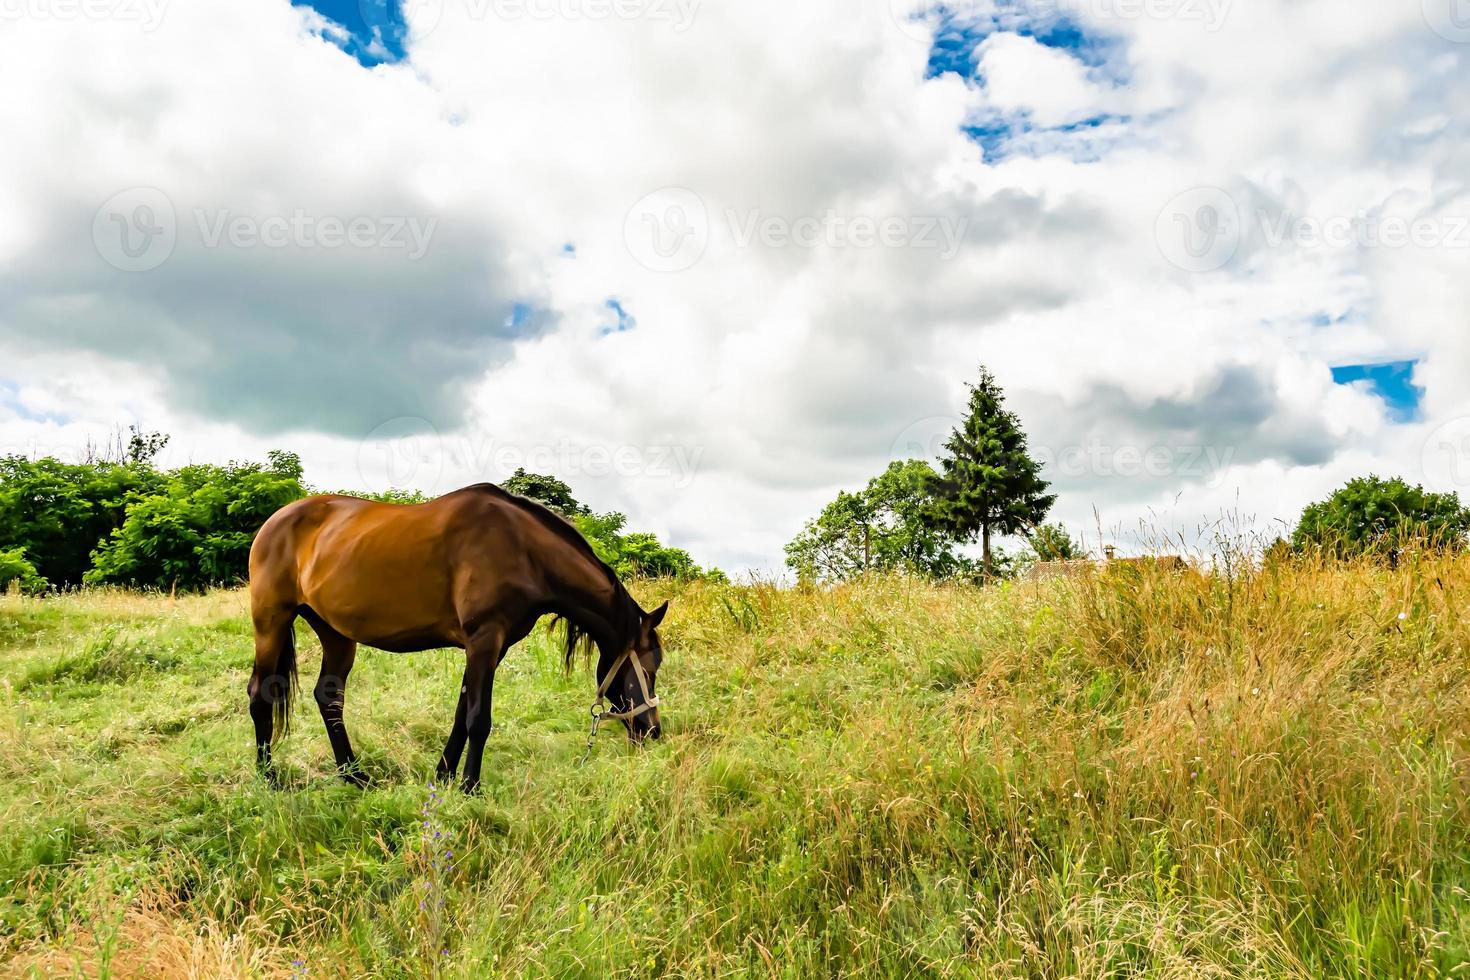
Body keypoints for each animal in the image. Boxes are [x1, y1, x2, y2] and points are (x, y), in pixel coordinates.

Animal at [249, 487, 670, 793]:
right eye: (651, 665)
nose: (652, 731)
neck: (524, 549)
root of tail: (275, 522)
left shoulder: (490, 648)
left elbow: (461, 713)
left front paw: (444, 776)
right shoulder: (484, 639)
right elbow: (478, 718)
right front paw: (470, 786)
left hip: (335, 633)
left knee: (329, 697)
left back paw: (353, 776)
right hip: (271, 621)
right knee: (260, 692)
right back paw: (268, 776)